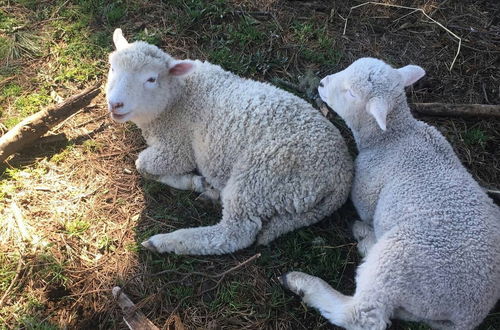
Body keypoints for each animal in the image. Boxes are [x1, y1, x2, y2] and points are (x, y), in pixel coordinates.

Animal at [105, 29, 354, 255]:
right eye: (113, 68)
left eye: (151, 79)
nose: (115, 104)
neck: (176, 99)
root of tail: (341, 178)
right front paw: (200, 183)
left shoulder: (176, 147)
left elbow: (143, 165)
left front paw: (192, 181)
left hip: (263, 177)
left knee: (233, 234)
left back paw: (167, 241)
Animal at [280, 58, 500, 328]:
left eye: (351, 93)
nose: (322, 83)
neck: (394, 137)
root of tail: (471, 314)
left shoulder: (366, 192)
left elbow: (366, 211)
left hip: (397, 263)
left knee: (363, 313)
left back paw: (306, 283)